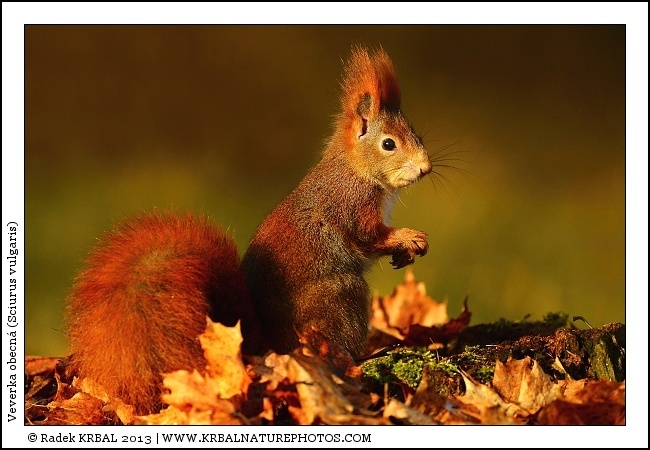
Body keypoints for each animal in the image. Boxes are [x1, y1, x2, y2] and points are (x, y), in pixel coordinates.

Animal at [65, 46, 431, 415]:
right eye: (389, 144)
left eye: (418, 134)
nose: (426, 168)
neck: (355, 169)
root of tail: (269, 344)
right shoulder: (354, 208)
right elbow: (371, 238)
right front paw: (409, 238)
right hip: (343, 298)